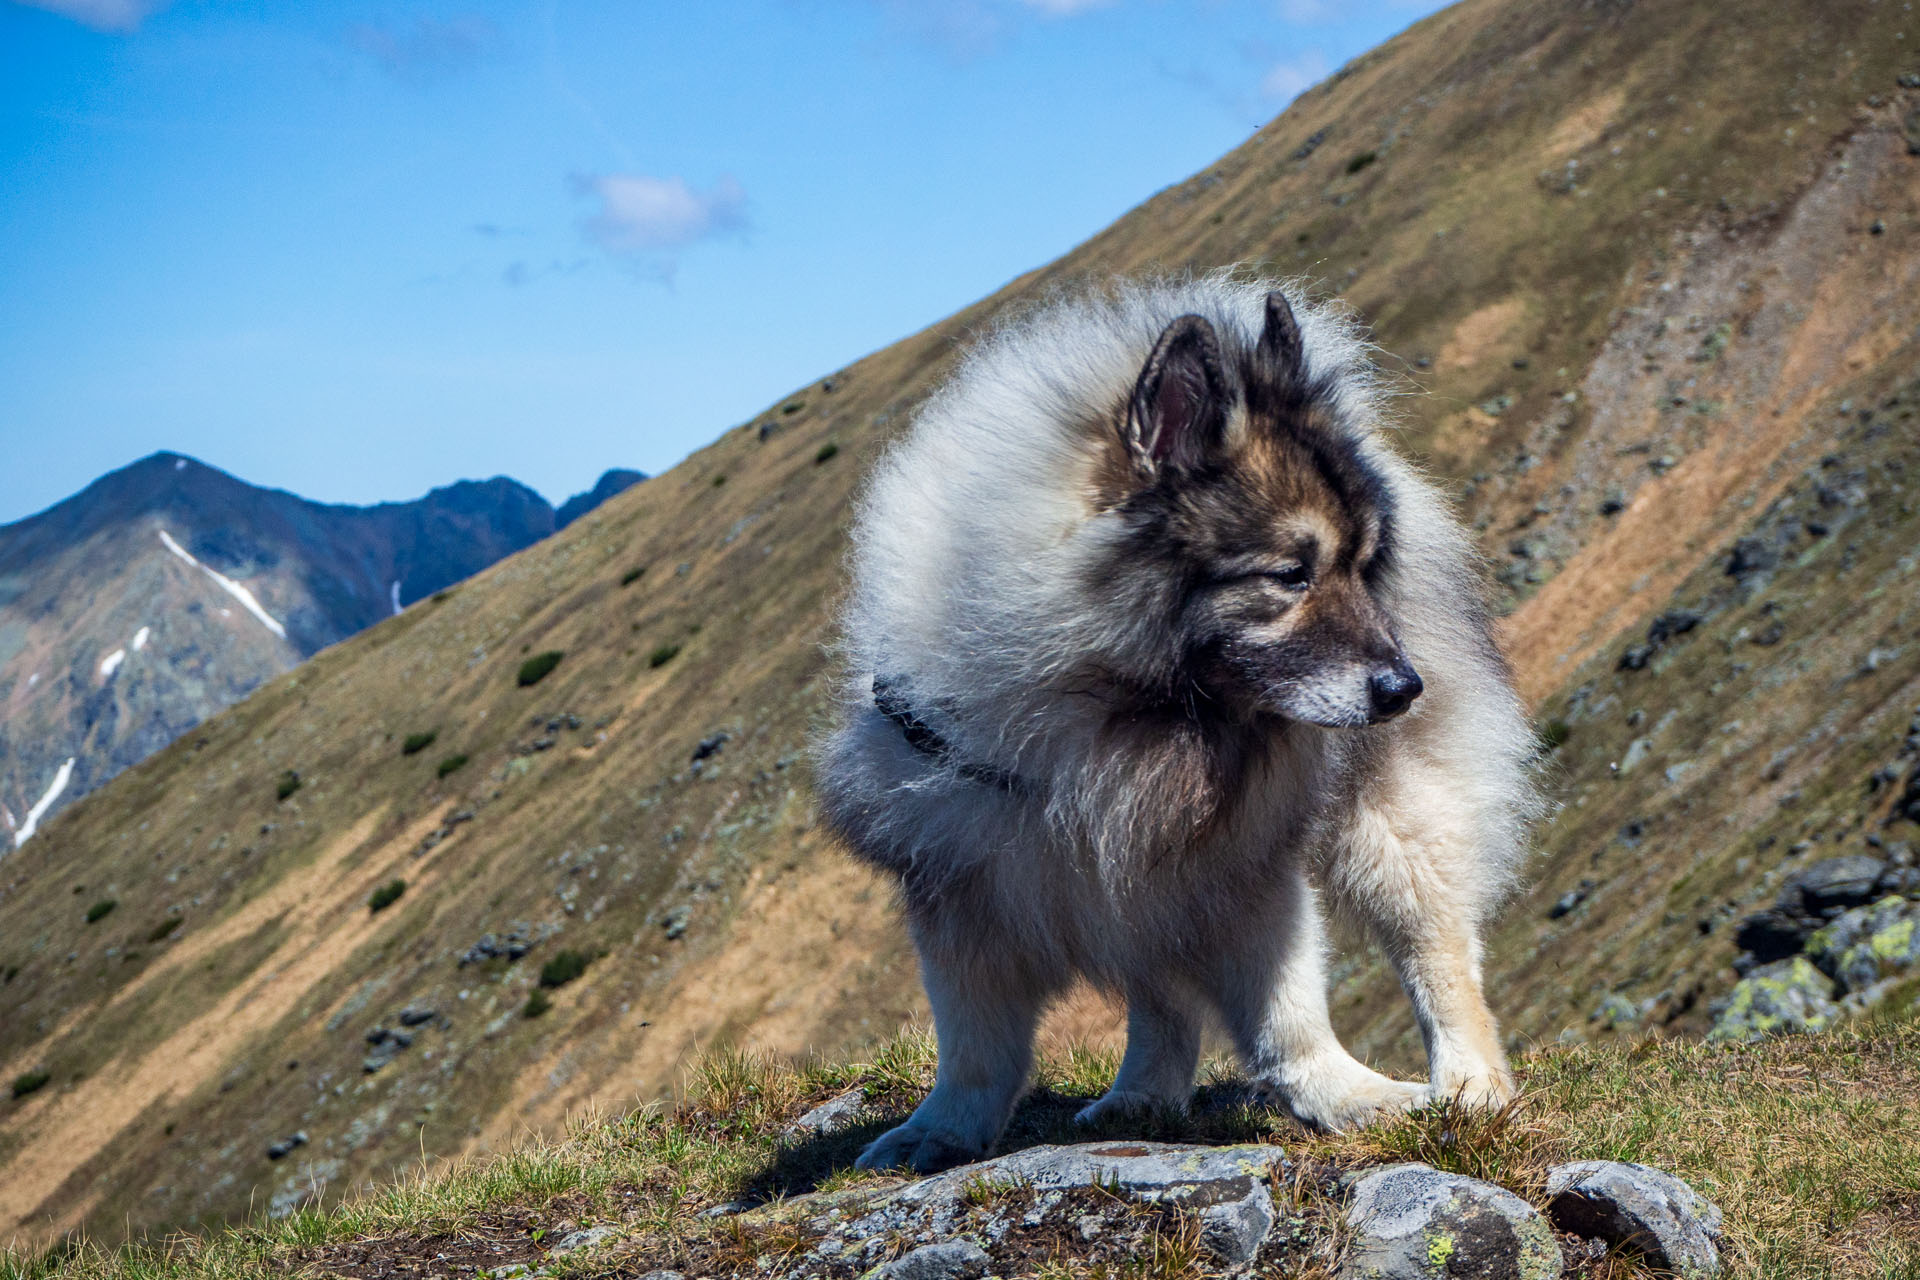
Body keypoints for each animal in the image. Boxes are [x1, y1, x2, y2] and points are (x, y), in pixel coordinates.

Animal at [817, 276, 1536, 1174]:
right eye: (1290, 574)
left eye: (1362, 565)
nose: (1405, 688)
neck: (1114, 714)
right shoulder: (976, 881)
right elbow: (975, 1045)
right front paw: (943, 1130)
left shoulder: (1239, 861)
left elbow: (1289, 1011)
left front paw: (1346, 1097)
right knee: (1157, 989)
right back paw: (1144, 1094)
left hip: (1395, 827)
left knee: (1438, 952)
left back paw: (1471, 1086)